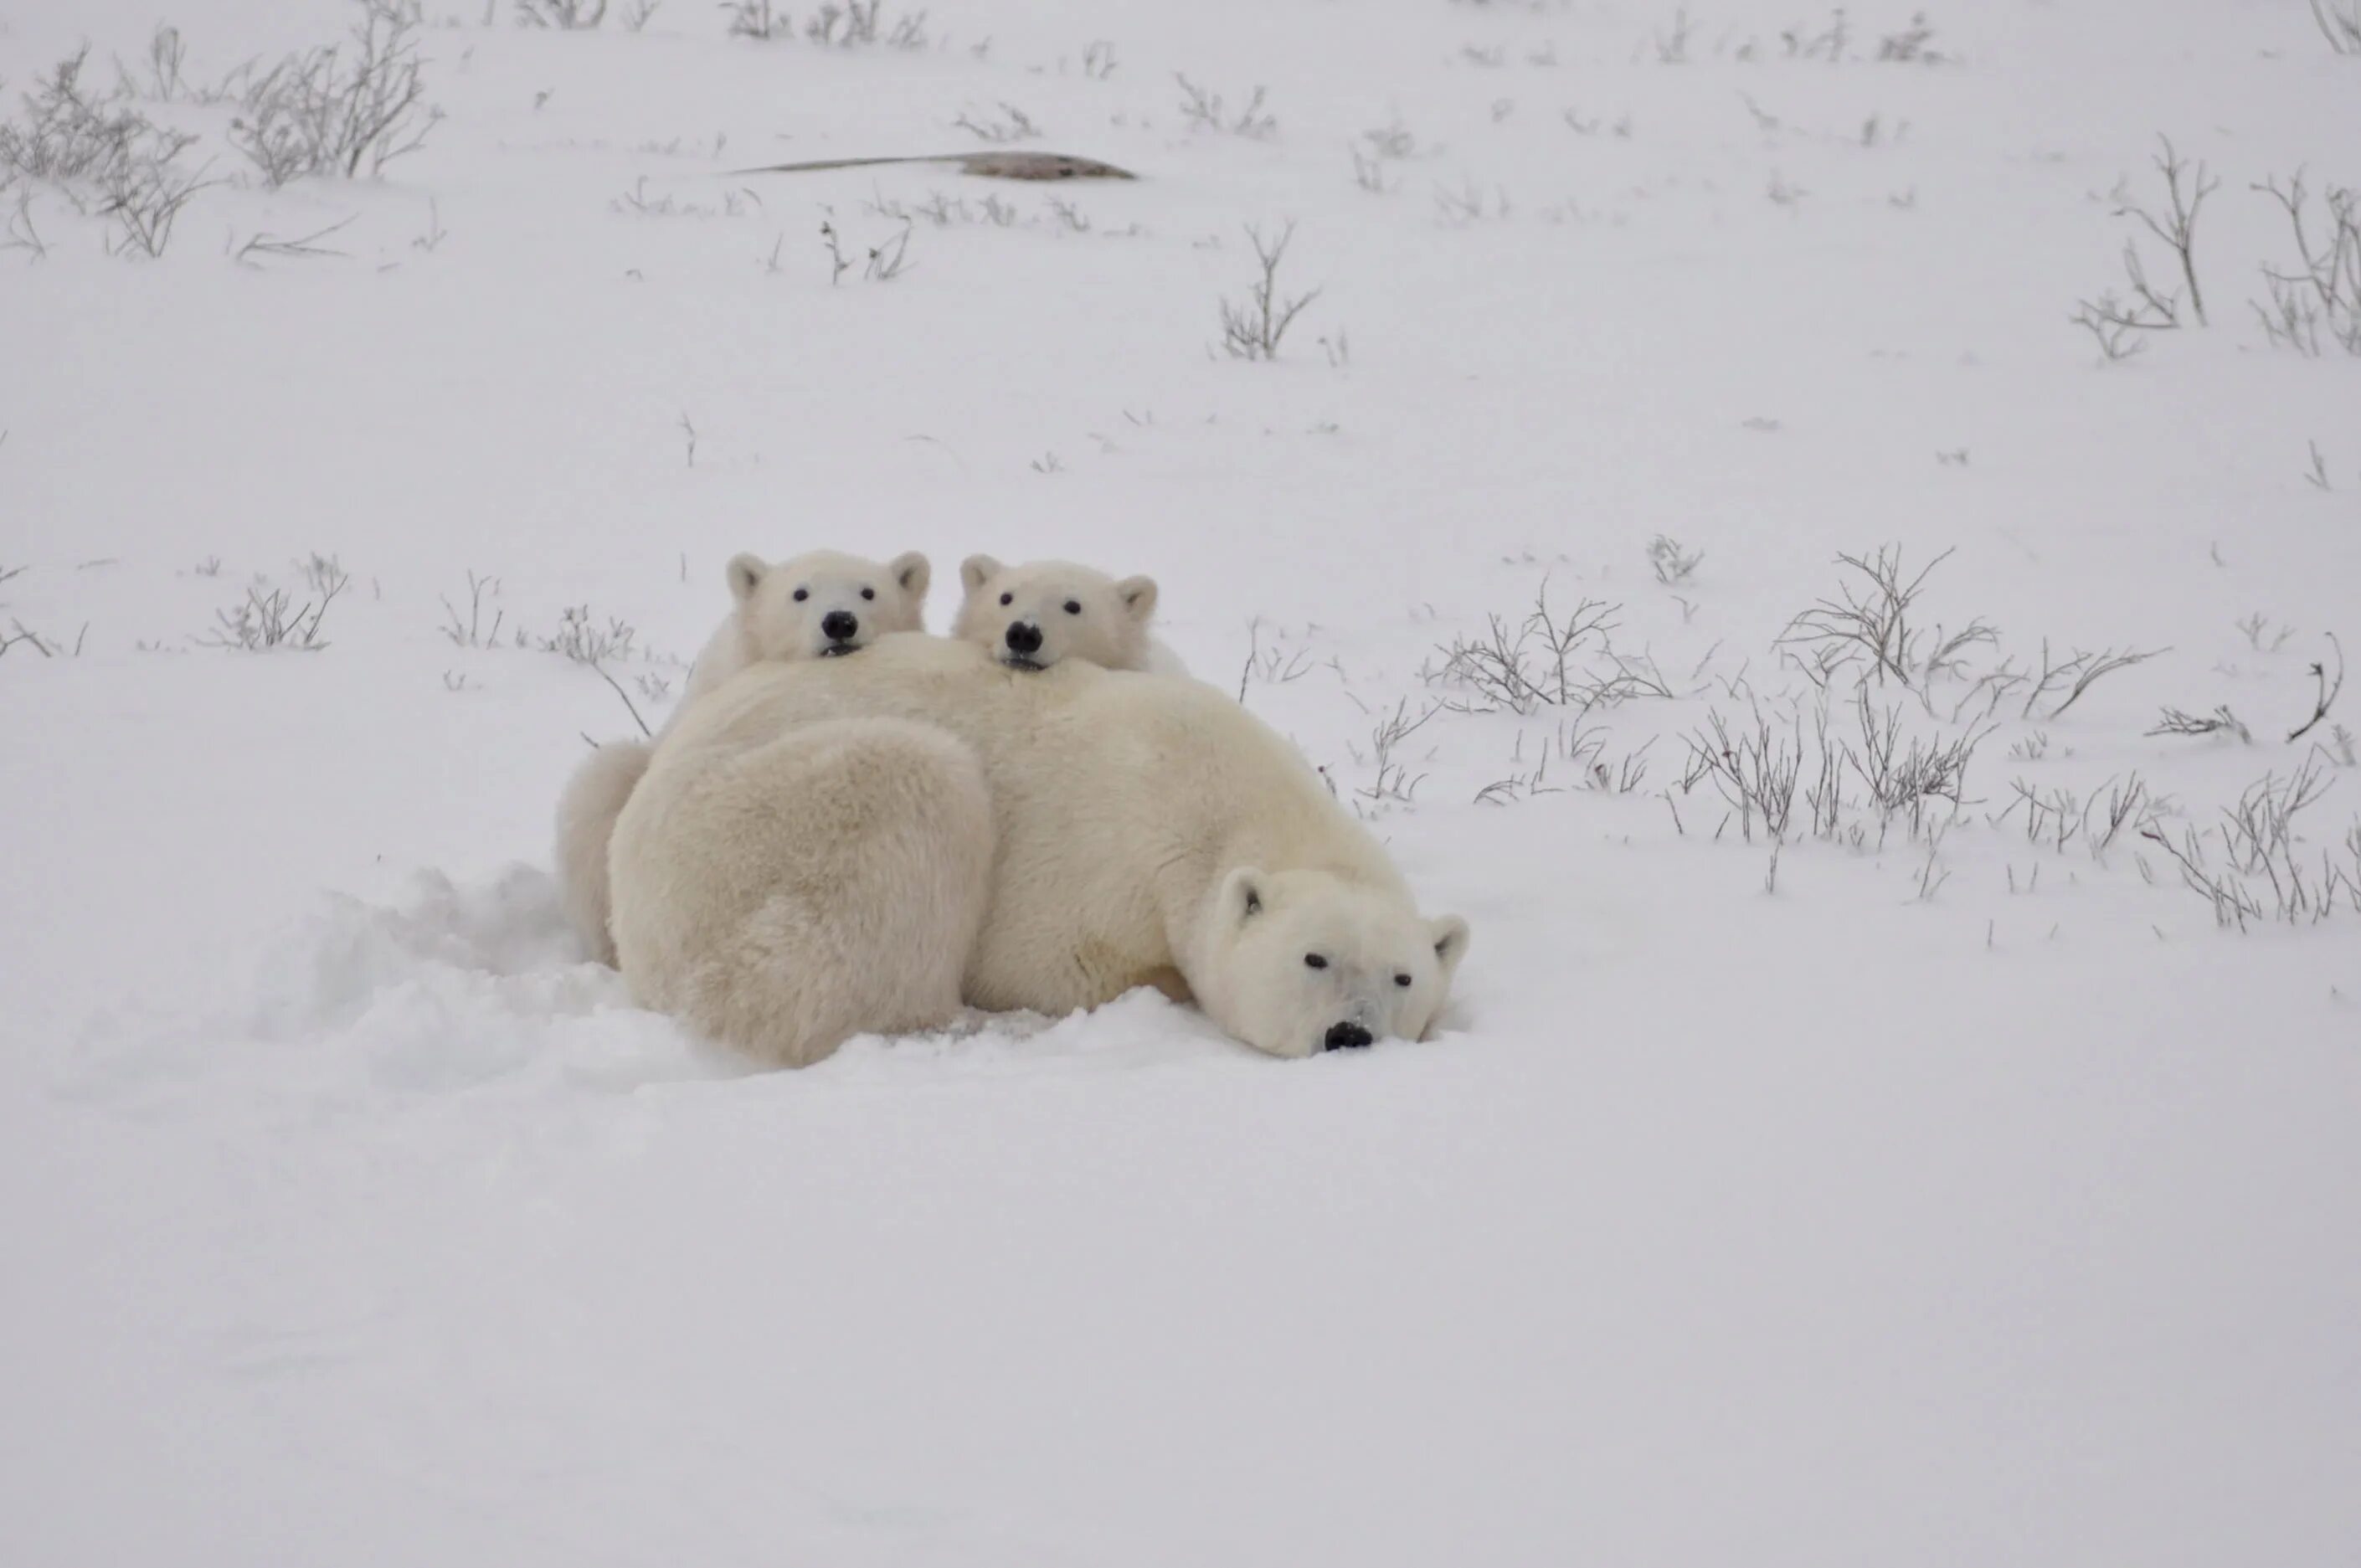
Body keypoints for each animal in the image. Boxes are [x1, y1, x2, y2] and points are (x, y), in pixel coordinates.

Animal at [604, 632, 1454, 1067]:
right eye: (1314, 957)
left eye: (1404, 975)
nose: (1351, 1034)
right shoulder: (1103, 856)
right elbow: (1056, 966)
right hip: (736, 839)